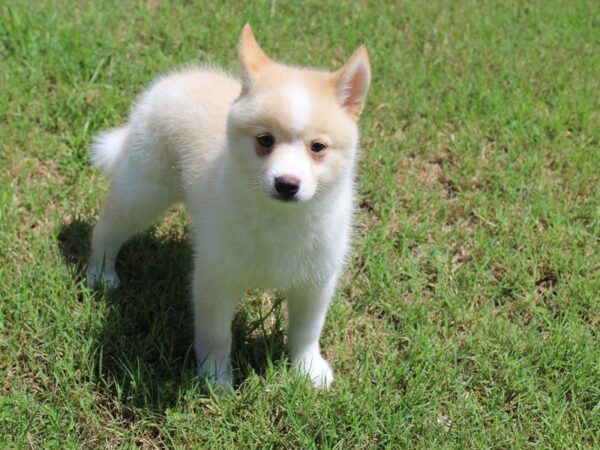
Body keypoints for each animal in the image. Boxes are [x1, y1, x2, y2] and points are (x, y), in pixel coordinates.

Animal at [86, 25, 370, 390]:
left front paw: (307, 368)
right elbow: (216, 336)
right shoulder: (216, 279)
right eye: (265, 141)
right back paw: (100, 272)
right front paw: (216, 380)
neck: (279, 219)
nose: (287, 184)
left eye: (318, 147)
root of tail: (175, 80)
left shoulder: (316, 279)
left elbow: (307, 330)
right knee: (108, 228)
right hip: (144, 191)